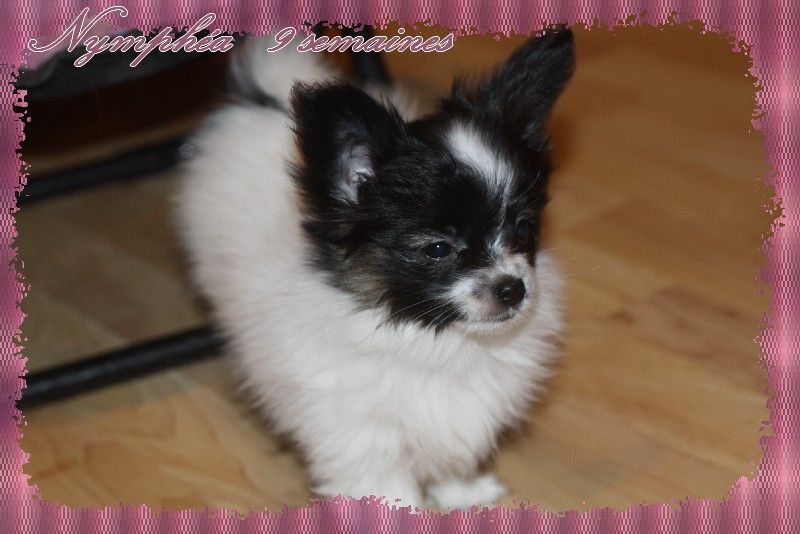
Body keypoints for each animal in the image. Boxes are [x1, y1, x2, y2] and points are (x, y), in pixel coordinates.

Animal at [176, 28, 574, 510]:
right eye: (438, 248)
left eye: (524, 228)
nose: (513, 288)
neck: (433, 338)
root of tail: (263, 99)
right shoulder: (361, 434)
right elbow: (385, 486)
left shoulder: (456, 413)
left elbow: (451, 453)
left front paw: (463, 494)